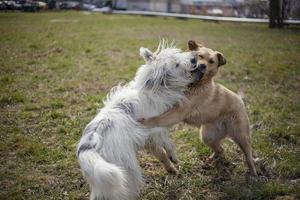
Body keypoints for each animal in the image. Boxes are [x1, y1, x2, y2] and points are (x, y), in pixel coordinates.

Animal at [77, 43, 198, 199]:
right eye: (176, 64)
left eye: (178, 54)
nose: (194, 58)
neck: (155, 90)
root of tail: (90, 146)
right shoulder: (157, 129)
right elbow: (168, 144)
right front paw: (174, 157)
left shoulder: (148, 140)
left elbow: (161, 153)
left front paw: (171, 168)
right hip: (125, 171)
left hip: (102, 180)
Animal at [141, 39, 258, 176]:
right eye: (199, 56)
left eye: (211, 61)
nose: (202, 66)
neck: (195, 86)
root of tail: (241, 101)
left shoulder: (178, 113)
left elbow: (157, 119)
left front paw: (145, 122)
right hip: (207, 136)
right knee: (220, 149)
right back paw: (213, 159)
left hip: (241, 136)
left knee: (248, 155)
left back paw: (253, 173)